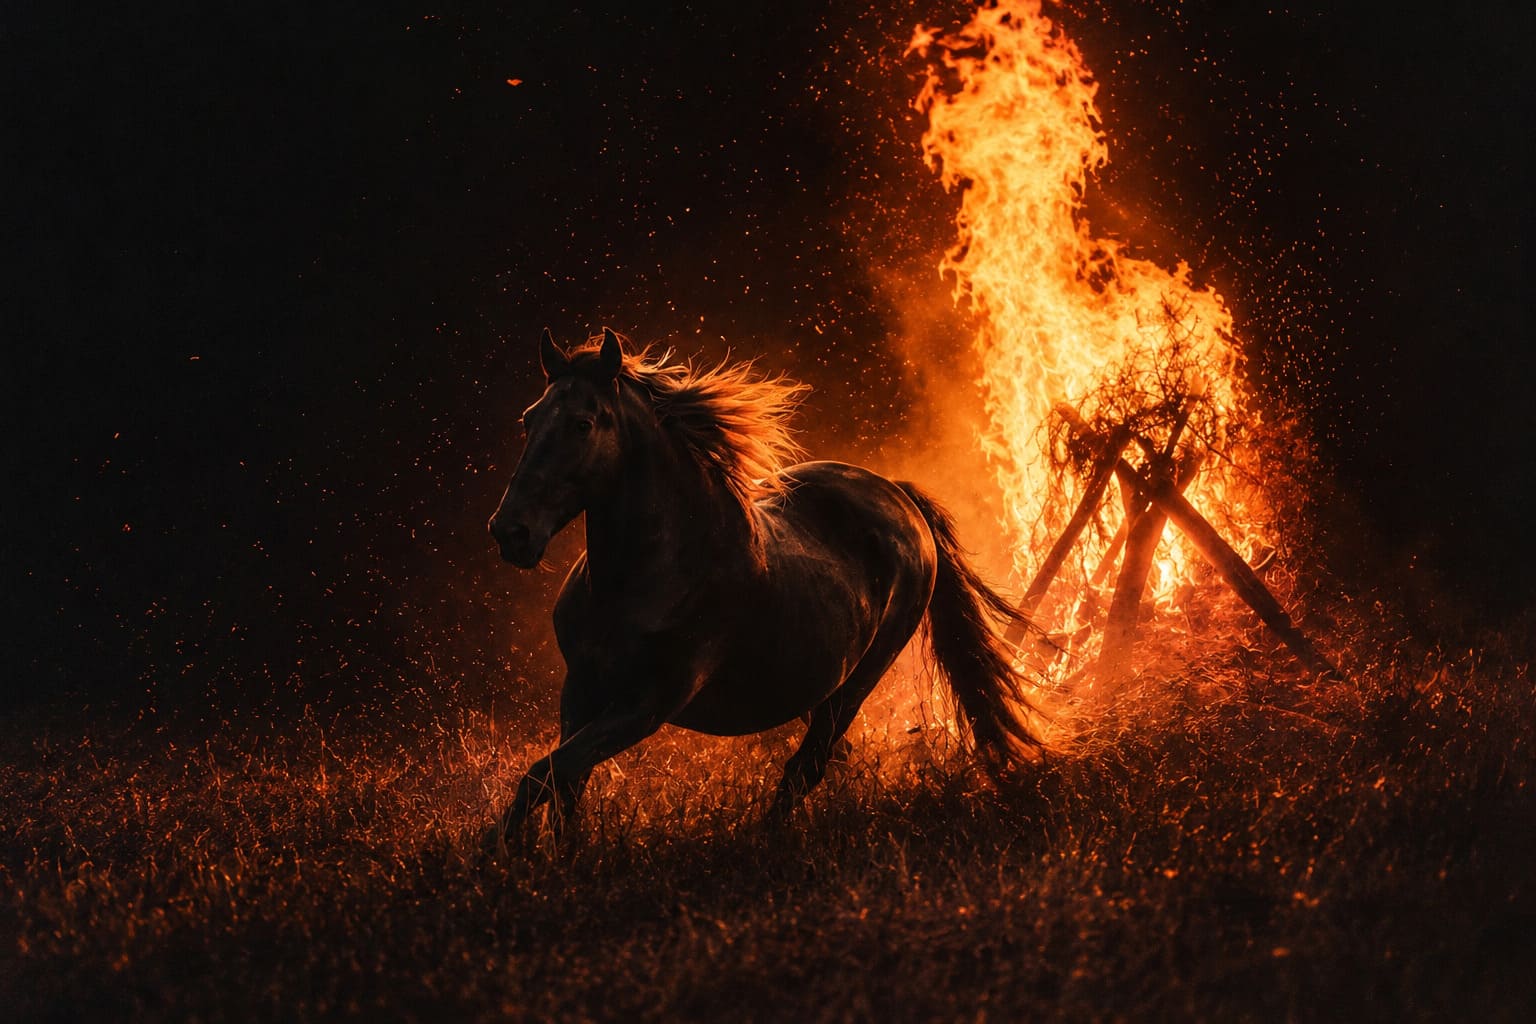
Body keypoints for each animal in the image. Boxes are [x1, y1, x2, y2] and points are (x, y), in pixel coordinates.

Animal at [484, 327, 1040, 853]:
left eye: (582, 423)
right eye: (529, 420)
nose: (511, 532)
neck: (644, 577)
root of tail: (899, 498)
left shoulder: (648, 704)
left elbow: (544, 774)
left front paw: (501, 853)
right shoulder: (582, 688)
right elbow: (565, 784)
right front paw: (552, 858)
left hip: (858, 682)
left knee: (804, 770)